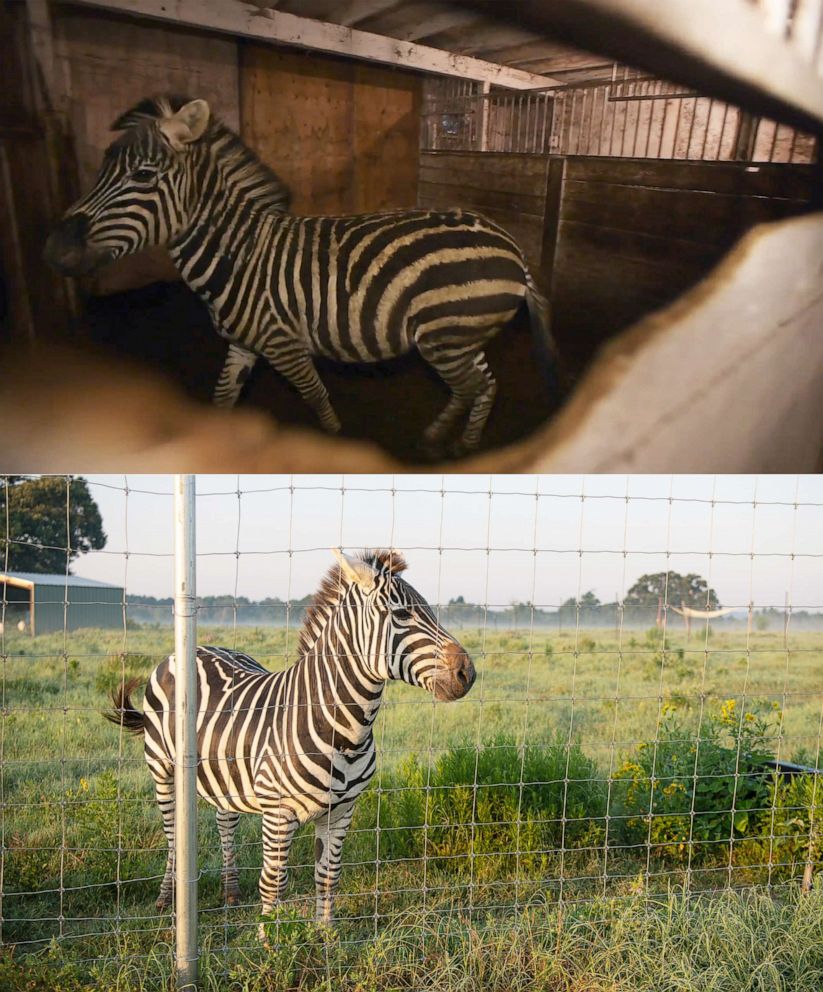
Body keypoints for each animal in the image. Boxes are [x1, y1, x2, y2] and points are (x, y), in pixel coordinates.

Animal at [45, 91, 560, 456]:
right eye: (101, 170)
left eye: (144, 177)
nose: (55, 250)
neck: (239, 252)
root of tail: (512, 246)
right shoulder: (244, 343)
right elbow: (223, 399)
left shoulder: (283, 342)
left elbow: (317, 399)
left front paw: (332, 444)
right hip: (459, 336)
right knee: (482, 383)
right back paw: (439, 436)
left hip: (447, 334)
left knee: (476, 386)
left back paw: (463, 447)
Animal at [104, 552, 476, 928]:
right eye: (401, 614)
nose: (468, 673)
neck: (345, 732)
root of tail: (193, 649)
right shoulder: (278, 813)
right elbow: (274, 882)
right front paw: (271, 939)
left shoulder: (342, 810)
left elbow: (328, 876)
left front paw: (326, 934)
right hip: (162, 768)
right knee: (173, 834)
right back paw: (167, 897)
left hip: (226, 773)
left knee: (225, 823)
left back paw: (231, 891)